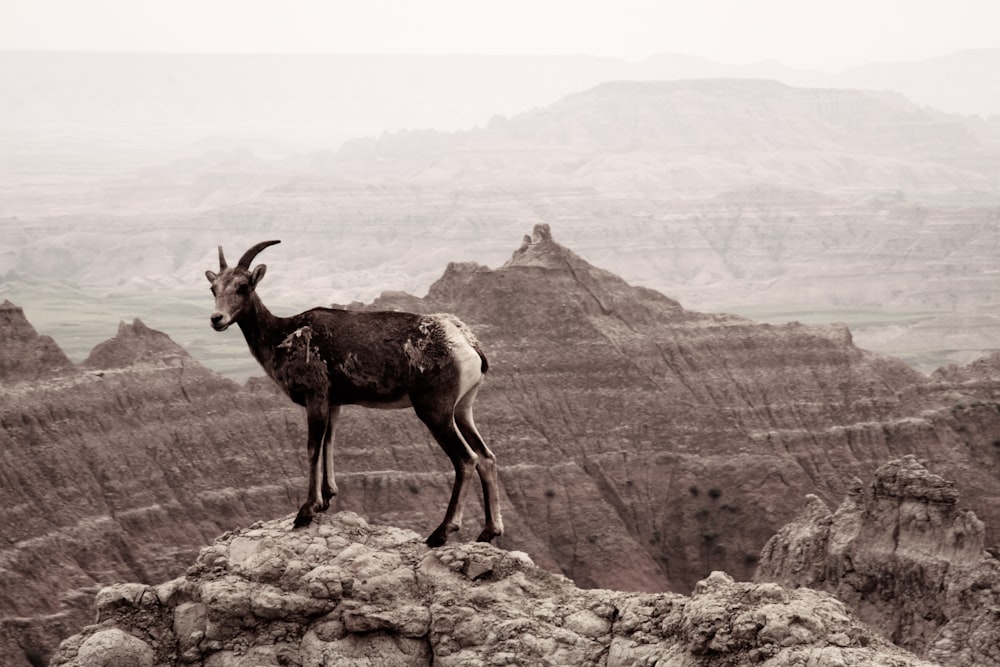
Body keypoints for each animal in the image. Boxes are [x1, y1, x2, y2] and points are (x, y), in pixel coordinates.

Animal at [204, 243, 504, 544]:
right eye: (213, 288)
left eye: (243, 286)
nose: (217, 319)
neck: (282, 336)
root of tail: (466, 344)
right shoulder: (334, 403)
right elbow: (329, 442)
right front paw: (327, 499)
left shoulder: (316, 398)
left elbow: (313, 448)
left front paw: (306, 511)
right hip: (462, 409)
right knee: (486, 457)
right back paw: (488, 532)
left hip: (435, 411)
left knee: (466, 459)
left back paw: (440, 533)